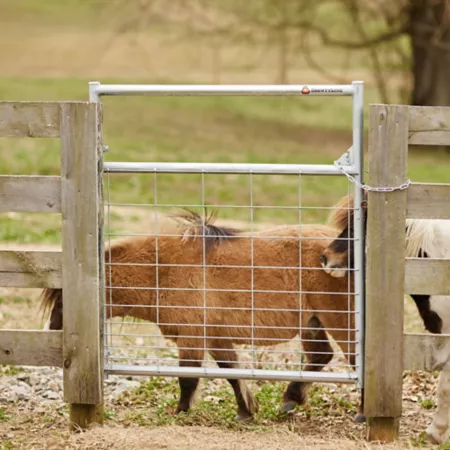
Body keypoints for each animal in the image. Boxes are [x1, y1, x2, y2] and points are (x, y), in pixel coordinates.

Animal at [42, 211, 358, 422]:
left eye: (62, 303)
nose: (52, 331)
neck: (163, 269)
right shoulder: (216, 337)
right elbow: (231, 373)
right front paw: (245, 411)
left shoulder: (192, 337)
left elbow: (188, 378)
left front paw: (180, 411)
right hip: (313, 322)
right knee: (320, 356)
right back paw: (290, 400)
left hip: (339, 322)